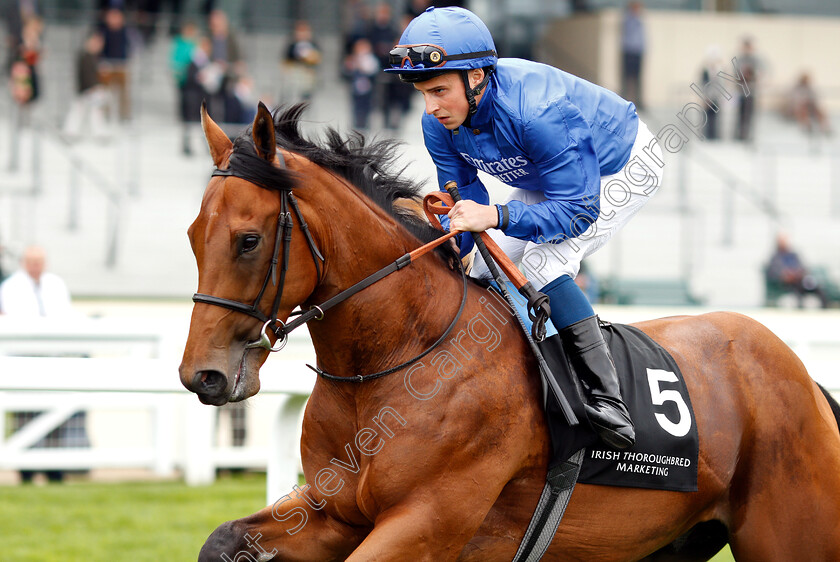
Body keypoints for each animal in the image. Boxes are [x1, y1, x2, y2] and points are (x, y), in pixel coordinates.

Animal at [179, 103, 840, 556]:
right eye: (191, 235)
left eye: (248, 240)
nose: (201, 376)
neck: (402, 355)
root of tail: (808, 382)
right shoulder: (333, 511)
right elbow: (222, 539)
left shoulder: (428, 521)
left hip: (792, 535)